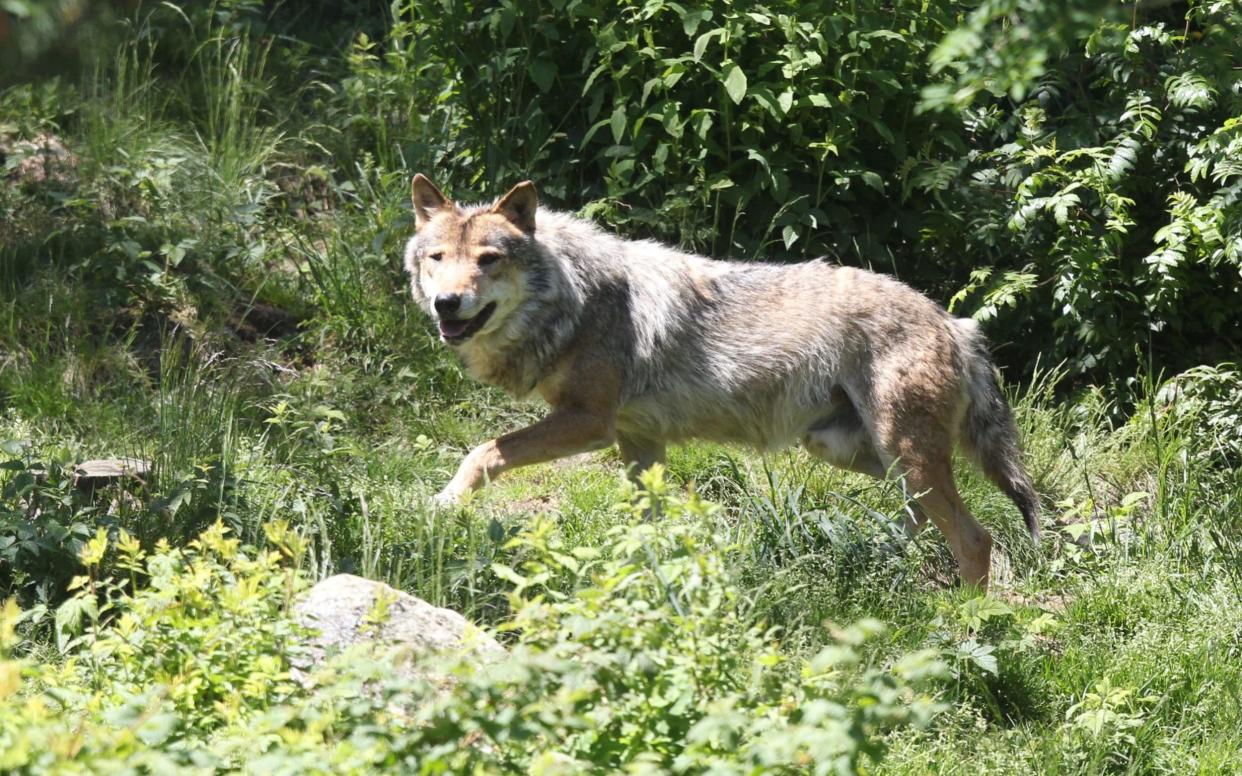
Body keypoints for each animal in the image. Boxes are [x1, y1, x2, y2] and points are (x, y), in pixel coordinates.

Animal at [404, 175, 1038, 586]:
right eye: (437, 258)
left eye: (488, 259)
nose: (446, 304)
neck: (571, 299)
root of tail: (957, 324)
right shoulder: (638, 440)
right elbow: (647, 527)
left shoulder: (588, 422)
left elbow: (483, 451)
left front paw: (440, 506)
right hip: (850, 449)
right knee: (921, 516)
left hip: (899, 452)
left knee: (975, 539)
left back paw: (963, 623)